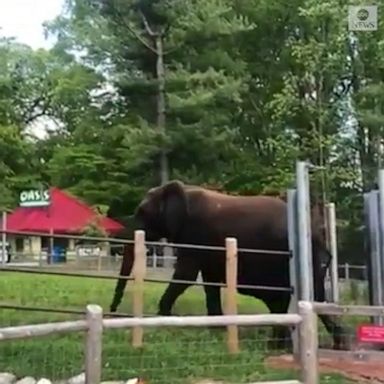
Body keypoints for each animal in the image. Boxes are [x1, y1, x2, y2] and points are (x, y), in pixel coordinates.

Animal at [109, 178, 348, 350]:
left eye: (142, 213)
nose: (113, 312)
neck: (181, 189)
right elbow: (210, 281)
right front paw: (217, 329)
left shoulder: (195, 234)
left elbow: (186, 275)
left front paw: (164, 318)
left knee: (285, 299)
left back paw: (278, 347)